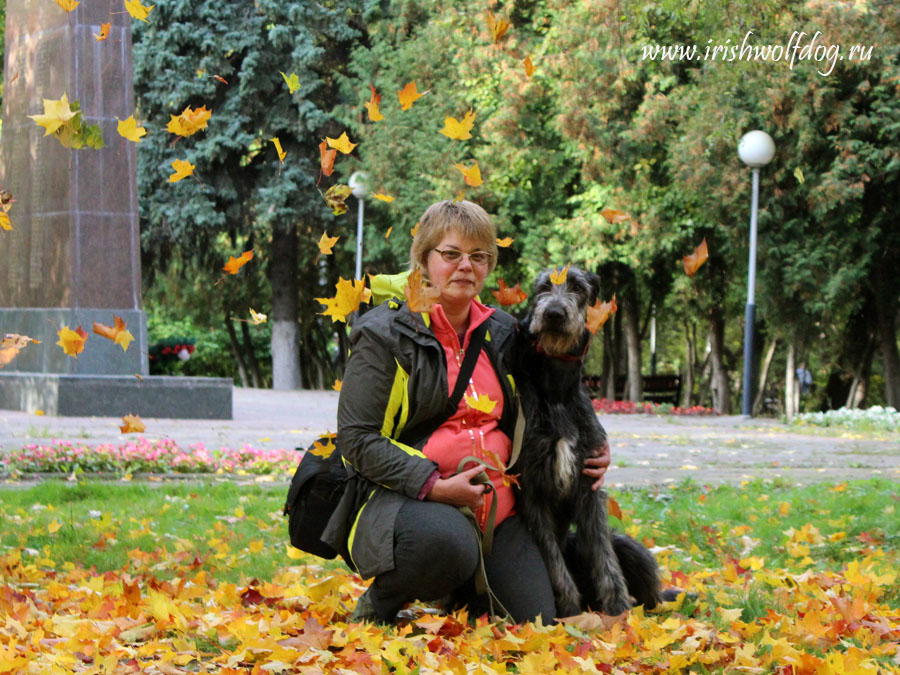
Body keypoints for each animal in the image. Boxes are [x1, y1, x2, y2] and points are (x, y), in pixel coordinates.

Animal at [512, 266, 660, 616]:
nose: (554, 314)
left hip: (631, 547)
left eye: (577, 287)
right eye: (543, 288)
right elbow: (552, 560)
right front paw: (570, 613)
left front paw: (619, 611)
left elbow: (604, 556)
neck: (556, 392)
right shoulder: (532, 490)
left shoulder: (589, 484)